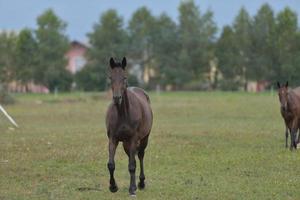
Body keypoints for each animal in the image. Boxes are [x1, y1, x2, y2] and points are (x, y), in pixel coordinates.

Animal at [105, 56, 152, 195]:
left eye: (124, 77)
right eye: (111, 77)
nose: (117, 98)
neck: (123, 114)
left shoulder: (133, 139)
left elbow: (132, 165)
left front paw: (132, 189)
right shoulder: (113, 139)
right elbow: (111, 164)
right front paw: (113, 186)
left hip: (144, 138)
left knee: (140, 156)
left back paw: (140, 183)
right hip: (126, 143)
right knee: (133, 158)